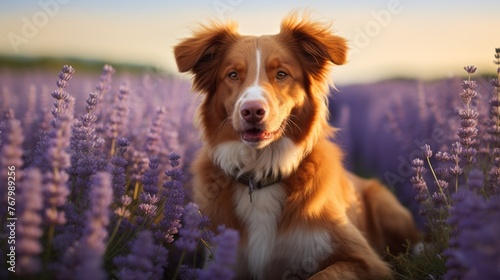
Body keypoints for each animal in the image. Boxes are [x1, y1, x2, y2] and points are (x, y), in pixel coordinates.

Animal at [174, 11, 416, 280]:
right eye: (233, 75)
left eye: (282, 74)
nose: (252, 111)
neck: (259, 175)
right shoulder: (221, 260)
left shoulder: (365, 261)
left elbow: (320, 275)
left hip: (384, 203)